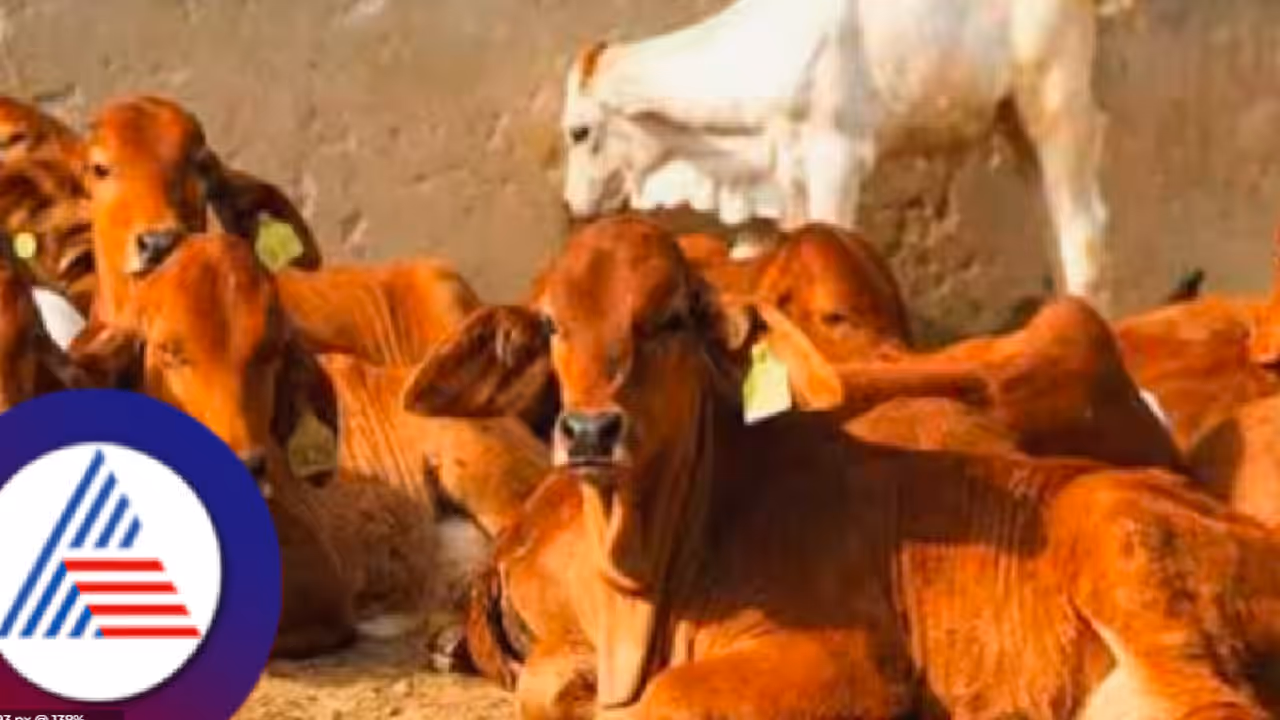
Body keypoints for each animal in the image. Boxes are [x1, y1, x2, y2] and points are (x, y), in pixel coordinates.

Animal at [410, 216, 1280, 719]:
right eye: (553, 324)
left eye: (672, 318)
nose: (590, 429)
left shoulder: (858, 664)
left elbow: (667, 699)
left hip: (1124, 549)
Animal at [561, 0, 1134, 316]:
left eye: (579, 132)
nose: (572, 203)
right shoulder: (771, 184)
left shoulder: (836, 159)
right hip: (1014, 121)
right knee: (1053, 225)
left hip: (1056, 104)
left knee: (1085, 230)